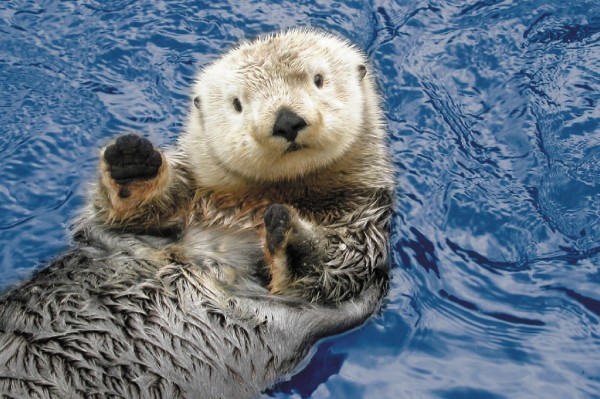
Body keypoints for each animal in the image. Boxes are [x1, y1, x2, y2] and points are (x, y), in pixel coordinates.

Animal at [0, 28, 394, 399]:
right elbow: (114, 218)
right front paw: (133, 163)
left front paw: (292, 233)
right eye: (237, 104)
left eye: (318, 79)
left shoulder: (363, 230)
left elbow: (332, 271)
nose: (286, 120)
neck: (251, 205)